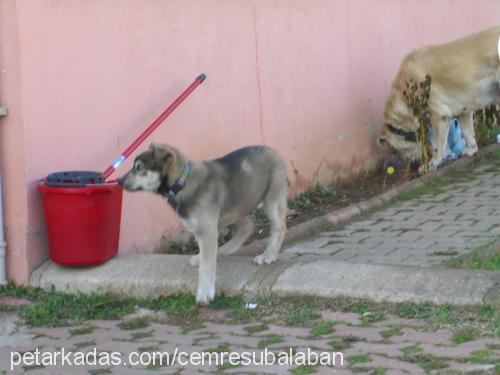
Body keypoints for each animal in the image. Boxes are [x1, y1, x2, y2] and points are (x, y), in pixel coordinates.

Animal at [118, 144, 288, 306]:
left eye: (138, 167)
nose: (119, 181)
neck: (182, 182)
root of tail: (273, 150)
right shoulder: (203, 229)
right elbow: (206, 254)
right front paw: (202, 257)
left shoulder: (207, 229)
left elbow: (206, 266)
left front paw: (205, 292)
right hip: (236, 204)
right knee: (248, 226)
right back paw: (224, 250)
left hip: (271, 200)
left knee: (279, 228)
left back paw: (268, 255)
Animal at [378, 25, 500, 169]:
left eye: (401, 149)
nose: (413, 163)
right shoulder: (464, 108)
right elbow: (467, 131)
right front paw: (471, 149)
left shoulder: (439, 114)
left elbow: (437, 144)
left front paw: (434, 162)